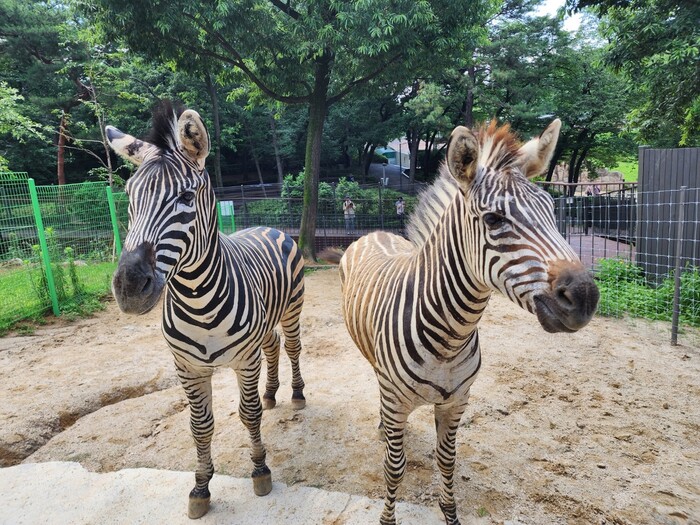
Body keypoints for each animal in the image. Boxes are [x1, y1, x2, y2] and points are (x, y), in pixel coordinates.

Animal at [106, 100, 304, 516]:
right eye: (129, 196)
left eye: (185, 197)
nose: (129, 288)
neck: (199, 303)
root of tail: (266, 225)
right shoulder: (187, 368)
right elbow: (200, 427)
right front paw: (200, 487)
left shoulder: (244, 361)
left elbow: (248, 414)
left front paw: (260, 470)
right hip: (266, 325)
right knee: (274, 345)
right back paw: (272, 392)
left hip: (293, 308)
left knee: (292, 347)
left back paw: (295, 393)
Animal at [330, 119, 600, 524]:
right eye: (493, 219)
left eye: (552, 211)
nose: (584, 297)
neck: (450, 336)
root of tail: (376, 232)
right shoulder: (396, 401)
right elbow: (394, 467)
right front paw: (387, 518)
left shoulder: (457, 402)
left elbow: (447, 461)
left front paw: (450, 514)